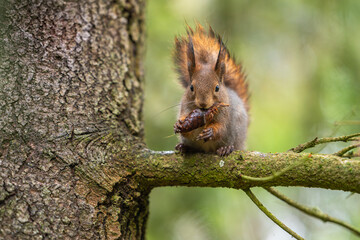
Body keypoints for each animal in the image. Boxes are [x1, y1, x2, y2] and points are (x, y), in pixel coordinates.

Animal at [173, 23, 249, 157]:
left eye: (217, 88)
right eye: (191, 87)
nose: (203, 104)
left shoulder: (225, 114)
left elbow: (222, 128)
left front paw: (210, 132)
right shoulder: (185, 107)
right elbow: (187, 130)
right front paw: (179, 124)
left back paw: (226, 148)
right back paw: (184, 147)